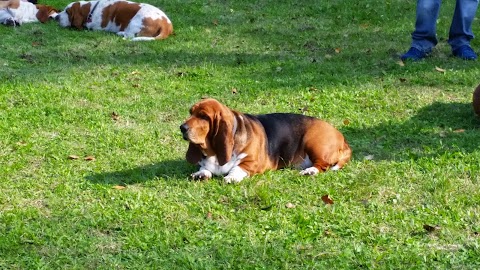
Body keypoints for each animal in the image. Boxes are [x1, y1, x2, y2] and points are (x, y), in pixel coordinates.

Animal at [180, 98, 352, 182]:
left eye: (204, 116)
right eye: (190, 112)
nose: (182, 127)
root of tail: (342, 138)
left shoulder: (252, 162)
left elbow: (239, 168)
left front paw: (231, 177)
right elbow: (205, 168)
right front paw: (201, 174)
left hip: (314, 142)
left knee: (323, 165)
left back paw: (310, 171)